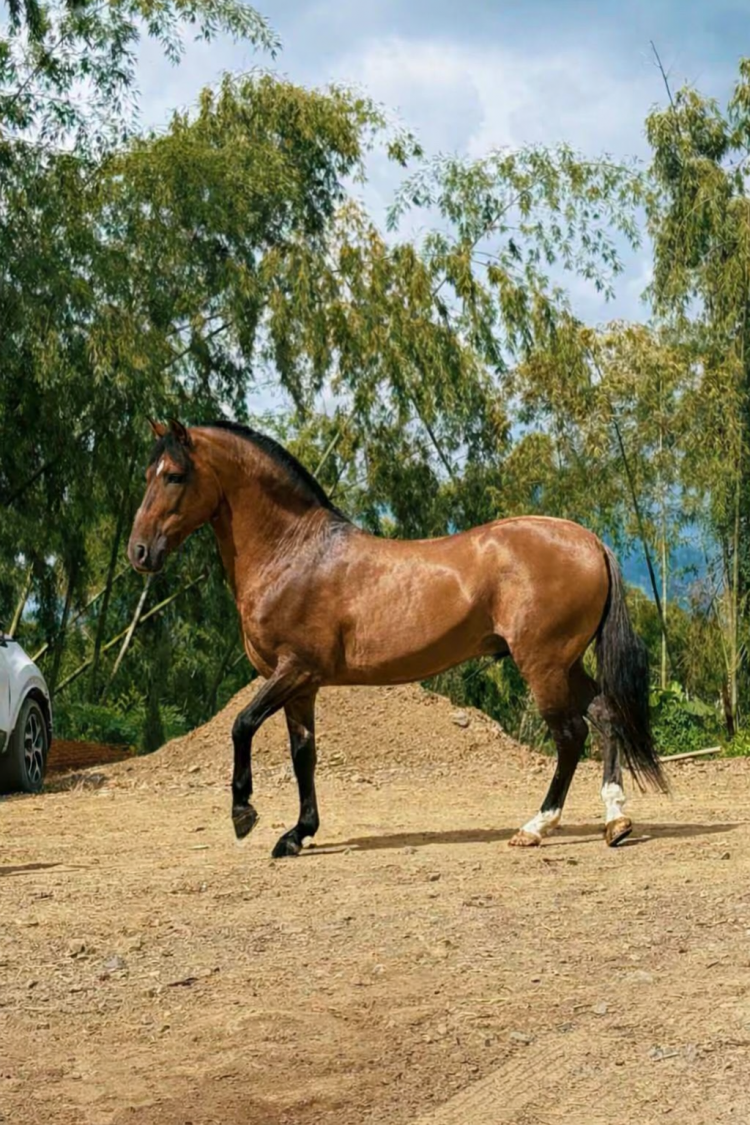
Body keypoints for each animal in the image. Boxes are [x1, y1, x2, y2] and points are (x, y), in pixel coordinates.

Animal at [127, 419, 667, 858]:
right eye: (148, 473)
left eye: (174, 475)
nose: (139, 552)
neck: (294, 554)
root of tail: (588, 539)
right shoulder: (302, 688)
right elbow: (304, 756)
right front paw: (298, 833)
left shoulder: (294, 670)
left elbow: (241, 725)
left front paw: (244, 815)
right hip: (566, 663)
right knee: (605, 715)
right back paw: (615, 821)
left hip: (543, 664)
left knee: (571, 734)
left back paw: (536, 826)